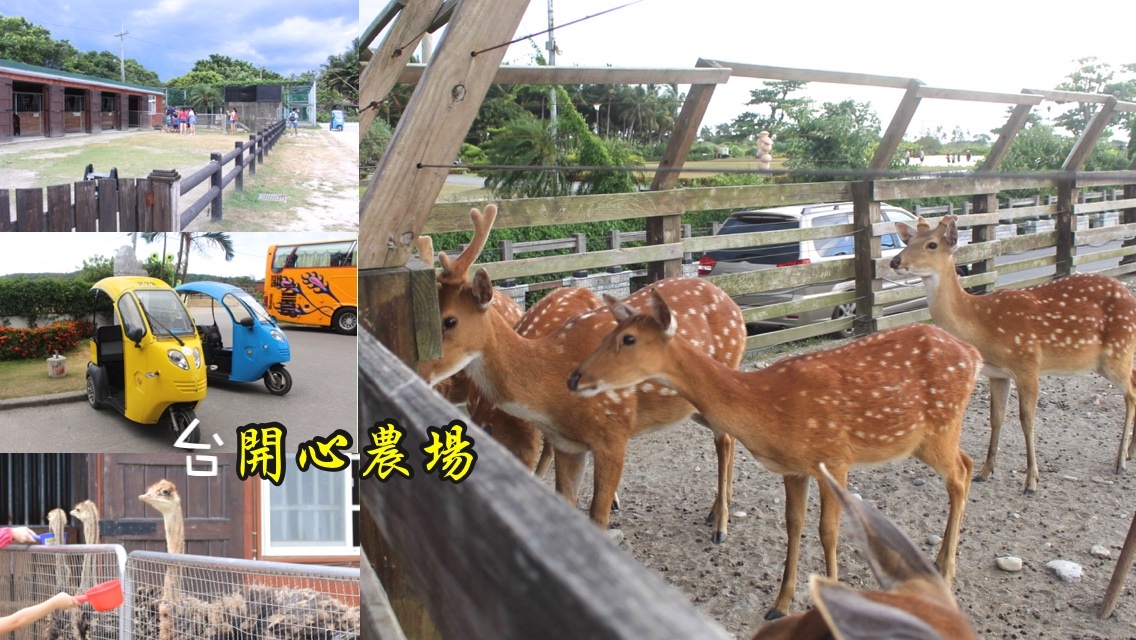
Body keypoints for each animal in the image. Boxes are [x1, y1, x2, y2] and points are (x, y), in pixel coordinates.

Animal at [417, 204, 745, 542]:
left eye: (450, 320)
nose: (421, 369)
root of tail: (736, 308)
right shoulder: (567, 443)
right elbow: (567, 503)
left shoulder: (613, 432)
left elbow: (597, 517)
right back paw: (717, 509)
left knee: (724, 440)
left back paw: (720, 525)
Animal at [567, 290, 980, 619]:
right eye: (607, 333)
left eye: (629, 339)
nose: (574, 377)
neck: (770, 406)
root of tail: (972, 353)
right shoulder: (793, 469)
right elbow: (793, 526)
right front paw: (780, 604)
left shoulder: (835, 456)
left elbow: (828, 531)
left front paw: (827, 602)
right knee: (967, 464)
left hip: (939, 429)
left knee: (961, 472)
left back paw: (945, 571)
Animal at [890, 214, 1136, 494]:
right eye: (909, 240)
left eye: (931, 244)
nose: (895, 261)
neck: (982, 324)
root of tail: (1130, 296)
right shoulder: (997, 373)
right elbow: (996, 418)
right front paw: (985, 471)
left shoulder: (1027, 363)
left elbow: (1026, 420)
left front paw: (1031, 481)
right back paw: (1130, 453)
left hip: (1116, 352)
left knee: (1131, 394)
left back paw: (1120, 461)